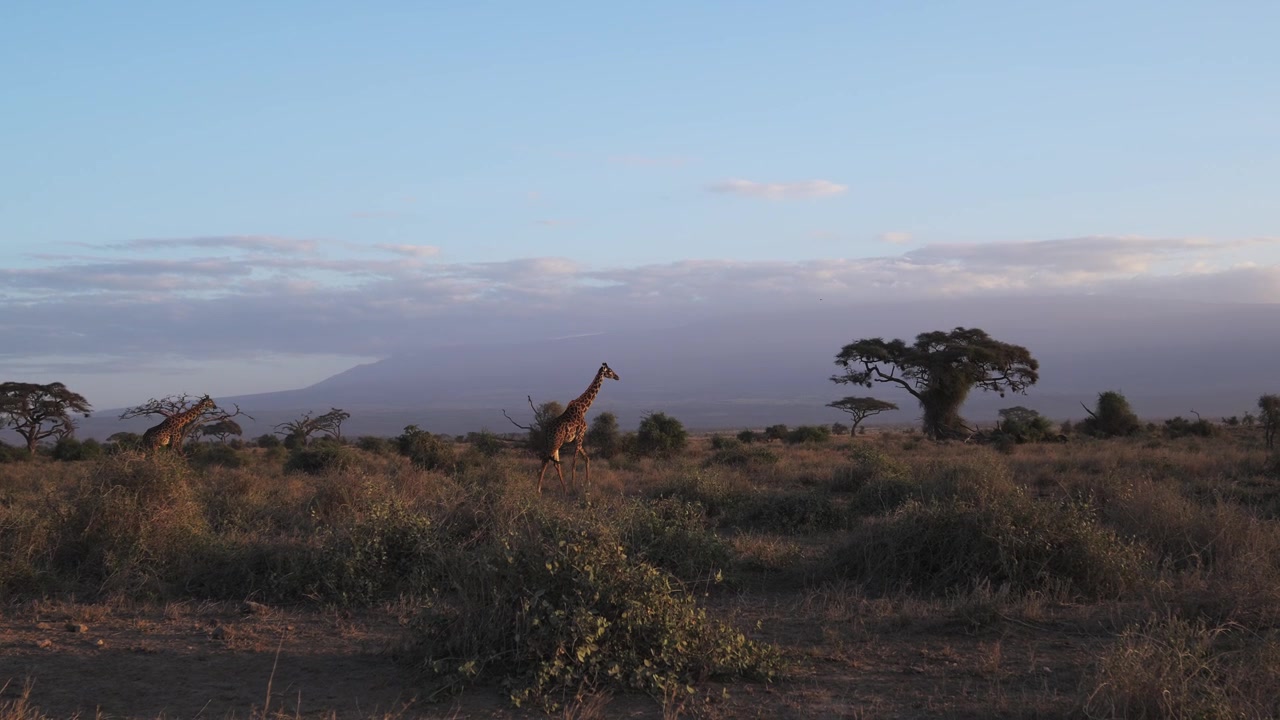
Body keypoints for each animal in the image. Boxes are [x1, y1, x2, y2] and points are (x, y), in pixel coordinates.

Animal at [537, 362, 620, 494]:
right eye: (610, 371)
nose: (617, 377)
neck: (584, 408)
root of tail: (546, 431)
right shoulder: (580, 435)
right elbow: (574, 462)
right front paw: (574, 486)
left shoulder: (577, 439)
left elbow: (587, 458)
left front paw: (587, 484)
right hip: (556, 442)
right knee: (546, 459)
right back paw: (539, 489)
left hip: (553, 443)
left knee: (555, 463)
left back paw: (564, 489)